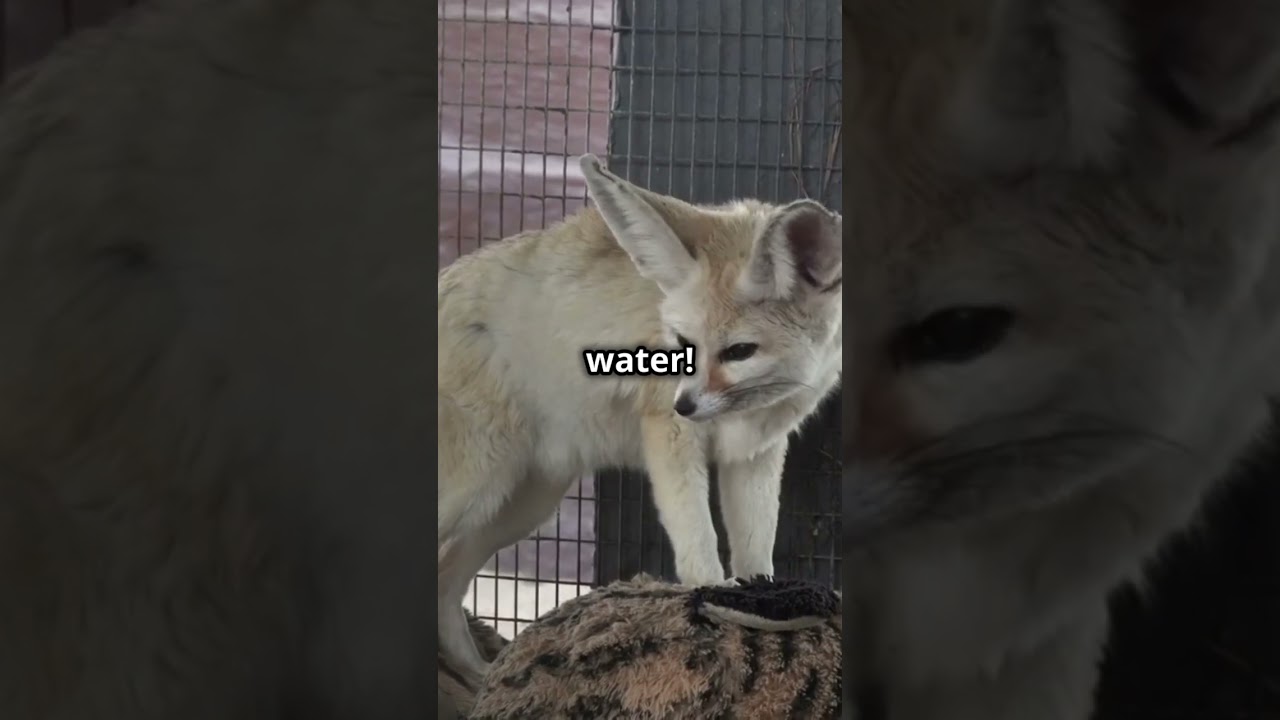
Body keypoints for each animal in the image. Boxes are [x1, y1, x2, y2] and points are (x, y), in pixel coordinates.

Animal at [437, 155, 843, 687]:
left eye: (739, 352)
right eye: (683, 344)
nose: (684, 405)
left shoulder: (756, 453)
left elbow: (757, 543)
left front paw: (765, 601)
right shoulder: (669, 436)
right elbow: (698, 540)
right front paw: (712, 600)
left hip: (517, 506)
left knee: (444, 589)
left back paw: (481, 677)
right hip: (474, 491)